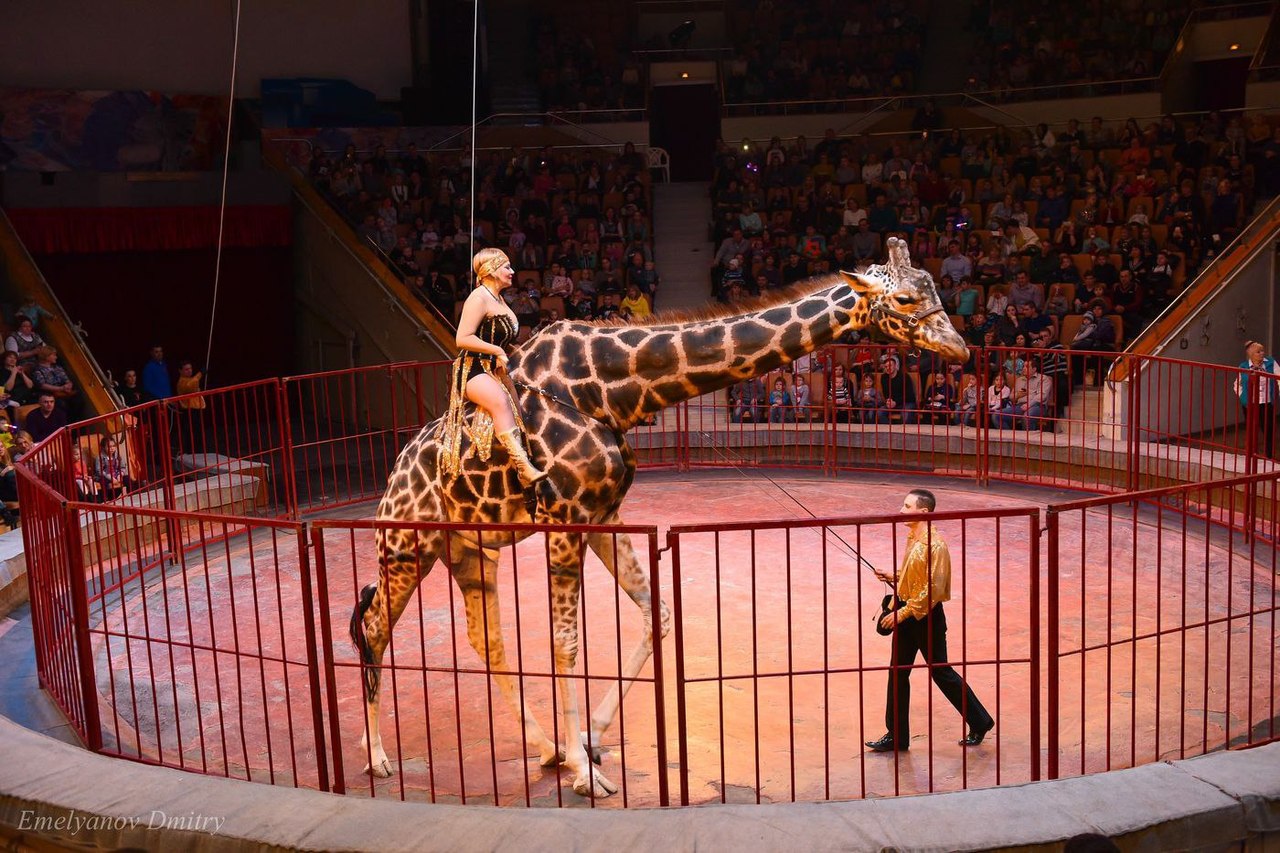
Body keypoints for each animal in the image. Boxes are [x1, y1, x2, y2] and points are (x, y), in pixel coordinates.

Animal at [350, 235, 967, 794]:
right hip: (405, 546)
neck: (614, 395)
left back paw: (545, 749)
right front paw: (585, 775)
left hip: (469, 548)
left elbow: (659, 616)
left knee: (487, 641)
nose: (960, 348)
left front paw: (588, 744)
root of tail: (391, 478)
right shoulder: (564, 518)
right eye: (906, 299)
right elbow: (566, 643)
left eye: (935, 287)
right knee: (375, 626)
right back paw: (377, 759)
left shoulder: (602, 516)